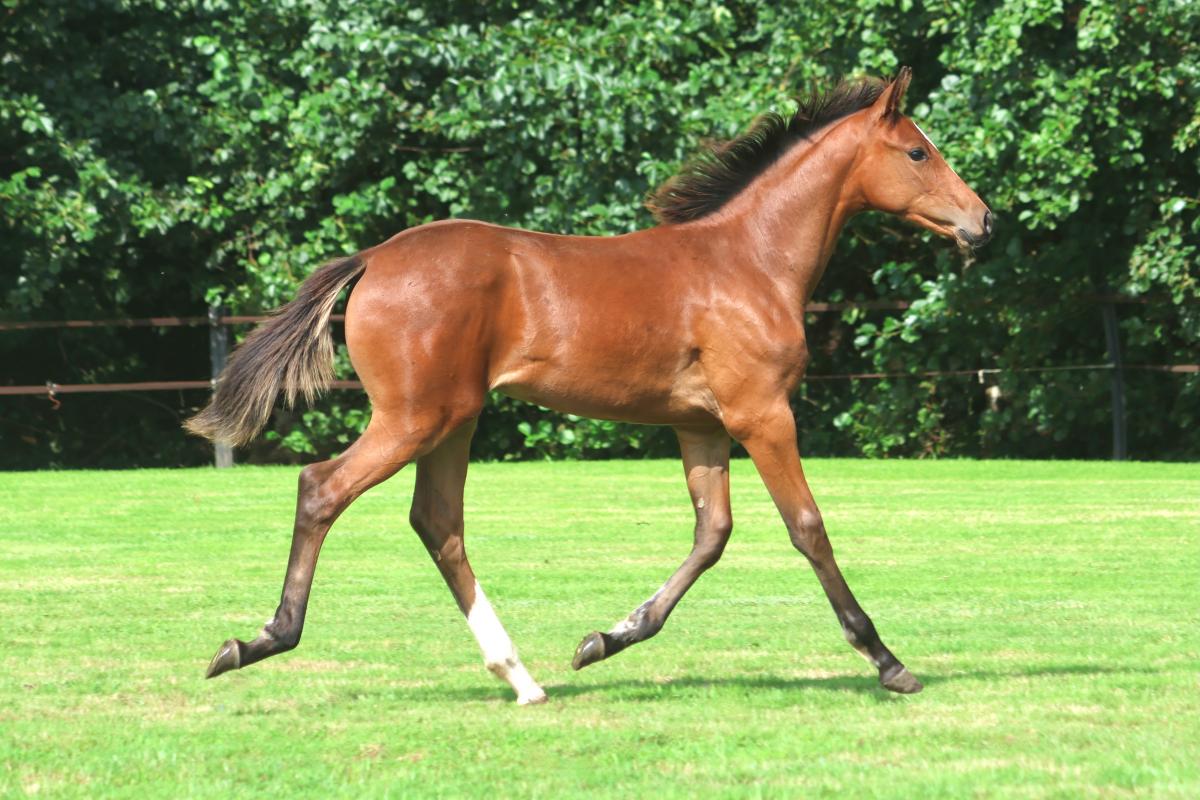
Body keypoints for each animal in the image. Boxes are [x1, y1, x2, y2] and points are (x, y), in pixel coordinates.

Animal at [187, 67, 991, 704]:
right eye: (917, 150)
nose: (983, 220)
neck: (750, 261)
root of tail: (376, 258)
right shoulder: (760, 413)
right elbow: (807, 527)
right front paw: (888, 662)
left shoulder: (700, 424)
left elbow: (712, 534)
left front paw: (607, 638)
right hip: (415, 417)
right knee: (322, 488)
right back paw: (258, 641)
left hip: (453, 420)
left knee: (438, 523)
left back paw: (520, 677)